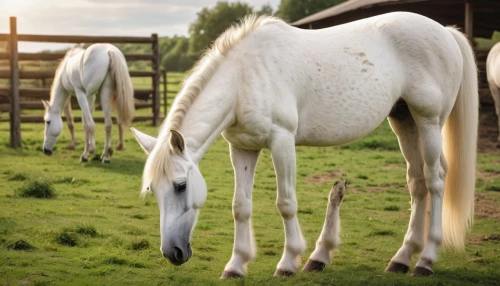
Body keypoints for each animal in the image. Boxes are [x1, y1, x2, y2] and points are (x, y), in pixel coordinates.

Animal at [131, 12, 478, 278]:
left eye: (180, 185)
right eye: (152, 190)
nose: (173, 253)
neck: (245, 77)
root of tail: (445, 32)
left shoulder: (282, 141)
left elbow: (286, 203)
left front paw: (288, 262)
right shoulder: (242, 148)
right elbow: (240, 207)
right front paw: (236, 265)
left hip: (428, 121)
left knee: (435, 180)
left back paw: (425, 261)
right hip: (403, 120)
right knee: (416, 182)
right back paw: (401, 259)